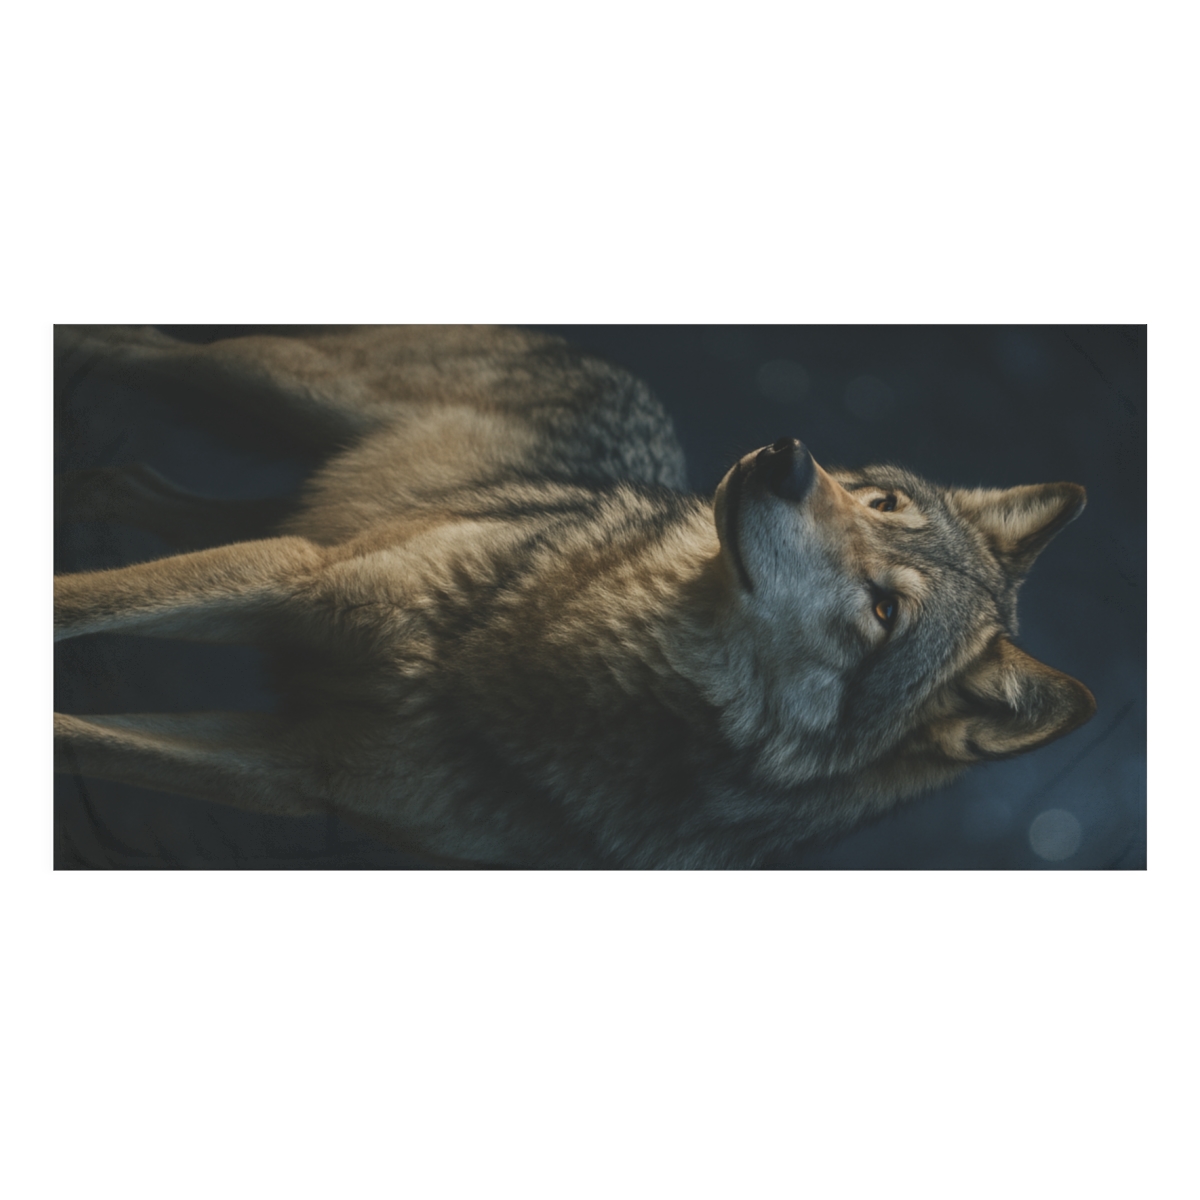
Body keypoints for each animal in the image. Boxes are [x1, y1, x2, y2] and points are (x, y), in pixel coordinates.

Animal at [54, 325, 1096, 868]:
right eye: (881, 502)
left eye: (886, 613)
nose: (788, 457)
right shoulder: (294, 574)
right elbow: (72, 605)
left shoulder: (285, 767)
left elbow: (84, 735)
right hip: (252, 387)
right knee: (139, 349)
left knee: (130, 478)